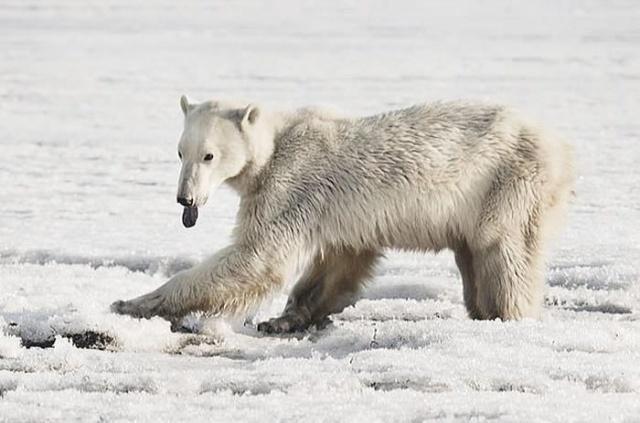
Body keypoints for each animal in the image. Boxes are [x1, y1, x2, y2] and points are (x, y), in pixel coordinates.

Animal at [111, 97, 576, 332]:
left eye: (209, 155)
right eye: (180, 152)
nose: (185, 199)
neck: (277, 142)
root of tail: (560, 148)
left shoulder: (289, 185)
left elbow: (256, 258)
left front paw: (132, 302)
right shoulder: (338, 216)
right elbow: (340, 262)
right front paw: (284, 319)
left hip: (507, 182)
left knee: (503, 250)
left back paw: (506, 313)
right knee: (473, 254)